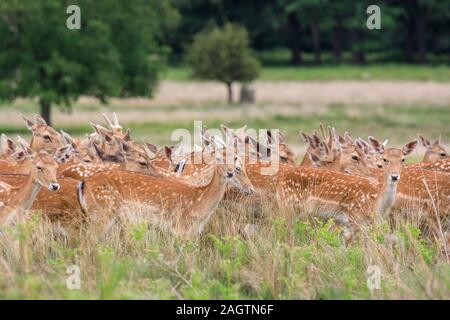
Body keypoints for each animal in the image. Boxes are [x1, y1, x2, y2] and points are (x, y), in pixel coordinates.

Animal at [75, 138, 255, 238]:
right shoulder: (180, 228)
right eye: (218, 158)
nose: (230, 172)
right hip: (101, 215)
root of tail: (84, 184)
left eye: (237, 160)